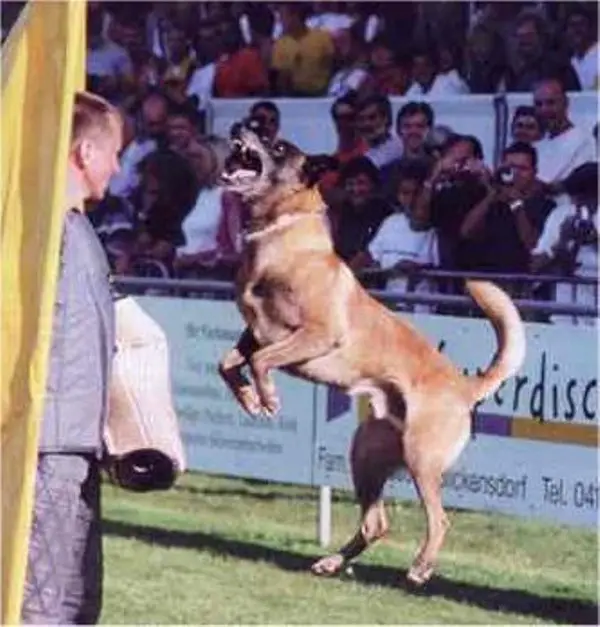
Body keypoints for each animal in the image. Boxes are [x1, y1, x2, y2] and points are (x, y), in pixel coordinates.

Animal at [217, 120, 526, 585]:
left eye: (277, 145)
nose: (240, 125)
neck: (280, 232)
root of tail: (464, 386)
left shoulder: (316, 335)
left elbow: (260, 361)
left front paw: (267, 397)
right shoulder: (253, 332)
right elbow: (229, 364)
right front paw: (249, 398)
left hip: (421, 457)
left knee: (439, 519)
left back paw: (420, 567)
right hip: (366, 455)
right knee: (375, 523)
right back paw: (332, 562)